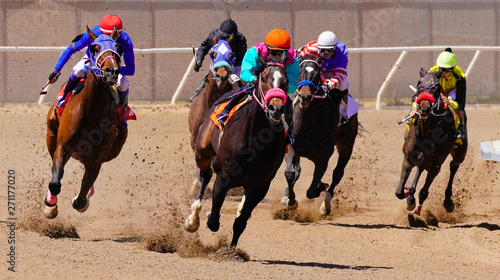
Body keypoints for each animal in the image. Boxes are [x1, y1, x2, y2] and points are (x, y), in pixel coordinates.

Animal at [44, 26, 126, 219]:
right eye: (95, 48)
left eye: (118, 47)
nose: (112, 71)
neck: (90, 113)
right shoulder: (62, 147)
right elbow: (55, 183)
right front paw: (50, 206)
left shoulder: (96, 159)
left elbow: (81, 199)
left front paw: (82, 199)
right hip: (51, 136)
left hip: (111, 151)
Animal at [187, 56, 290, 247]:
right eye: (264, 79)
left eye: (285, 81)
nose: (276, 109)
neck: (253, 141)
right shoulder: (223, 178)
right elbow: (213, 220)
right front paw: (205, 216)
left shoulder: (259, 186)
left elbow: (240, 222)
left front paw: (232, 249)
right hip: (202, 150)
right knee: (205, 175)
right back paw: (193, 218)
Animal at [282, 57, 360, 214]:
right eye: (300, 72)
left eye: (317, 74)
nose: (305, 96)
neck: (308, 125)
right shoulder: (291, 147)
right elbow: (290, 173)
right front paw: (290, 201)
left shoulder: (324, 156)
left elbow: (312, 190)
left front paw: (321, 186)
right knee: (297, 171)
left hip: (347, 144)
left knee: (337, 173)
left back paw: (326, 204)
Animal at [394, 71, 468, 215]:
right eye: (419, 83)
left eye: (437, 87)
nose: (424, 108)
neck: (427, 133)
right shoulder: (408, 156)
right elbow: (399, 192)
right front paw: (408, 194)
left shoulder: (436, 165)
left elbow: (423, 192)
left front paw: (416, 206)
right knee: (420, 168)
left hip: (460, 153)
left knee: (453, 166)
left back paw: (448, 202)